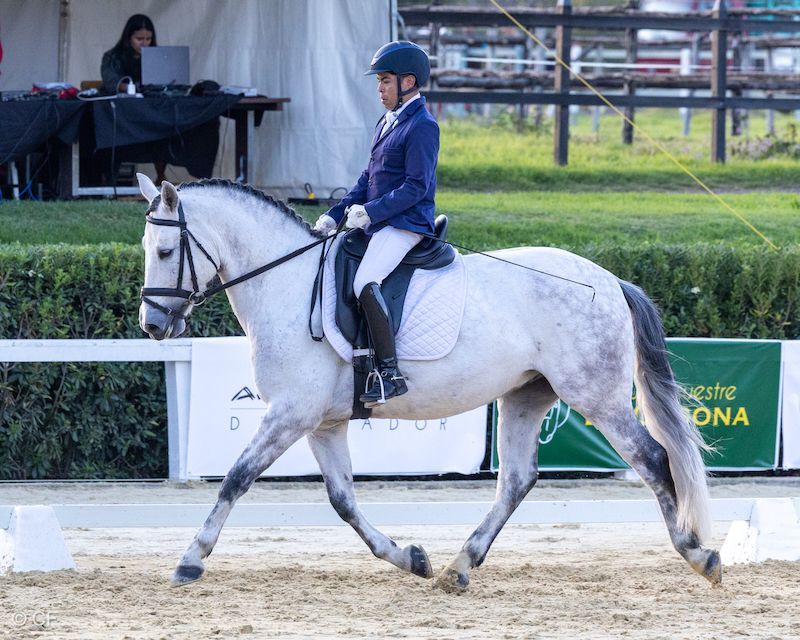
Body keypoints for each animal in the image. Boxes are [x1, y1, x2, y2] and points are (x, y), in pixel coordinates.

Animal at [137, 174, 721, 591]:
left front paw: (190, 560)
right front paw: (410, 557)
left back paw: (700, 554)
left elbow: (236, 478)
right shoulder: (321, 422)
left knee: (653, 459)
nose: (153, 326)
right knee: (517, 480)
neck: (286, 283)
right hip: (526, 395)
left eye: (165, 252)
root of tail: (611, 280)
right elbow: (343, 500)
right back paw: (458, 566)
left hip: (595, 397)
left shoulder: (291, 413)